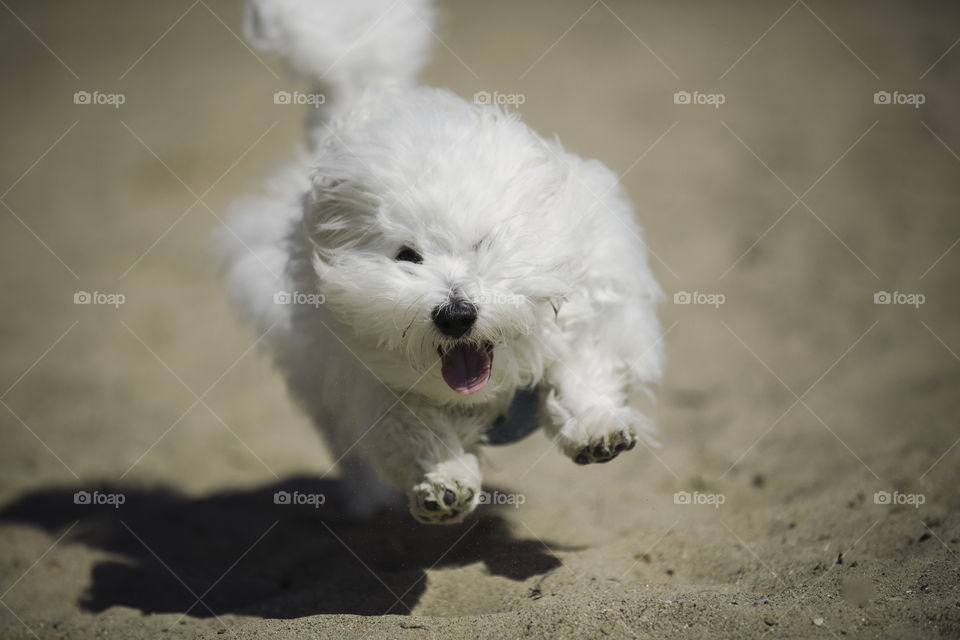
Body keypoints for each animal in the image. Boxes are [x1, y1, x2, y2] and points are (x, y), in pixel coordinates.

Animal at [220, 0, 664, 524]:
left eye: (484, 244)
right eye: (407, 255)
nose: (455, 315)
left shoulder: (595, 305)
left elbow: (583, 367)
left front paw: (594, 427)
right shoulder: (366, 376)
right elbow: (411, 427)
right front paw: (444, 480)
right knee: (348, 444)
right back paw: (370, 499)